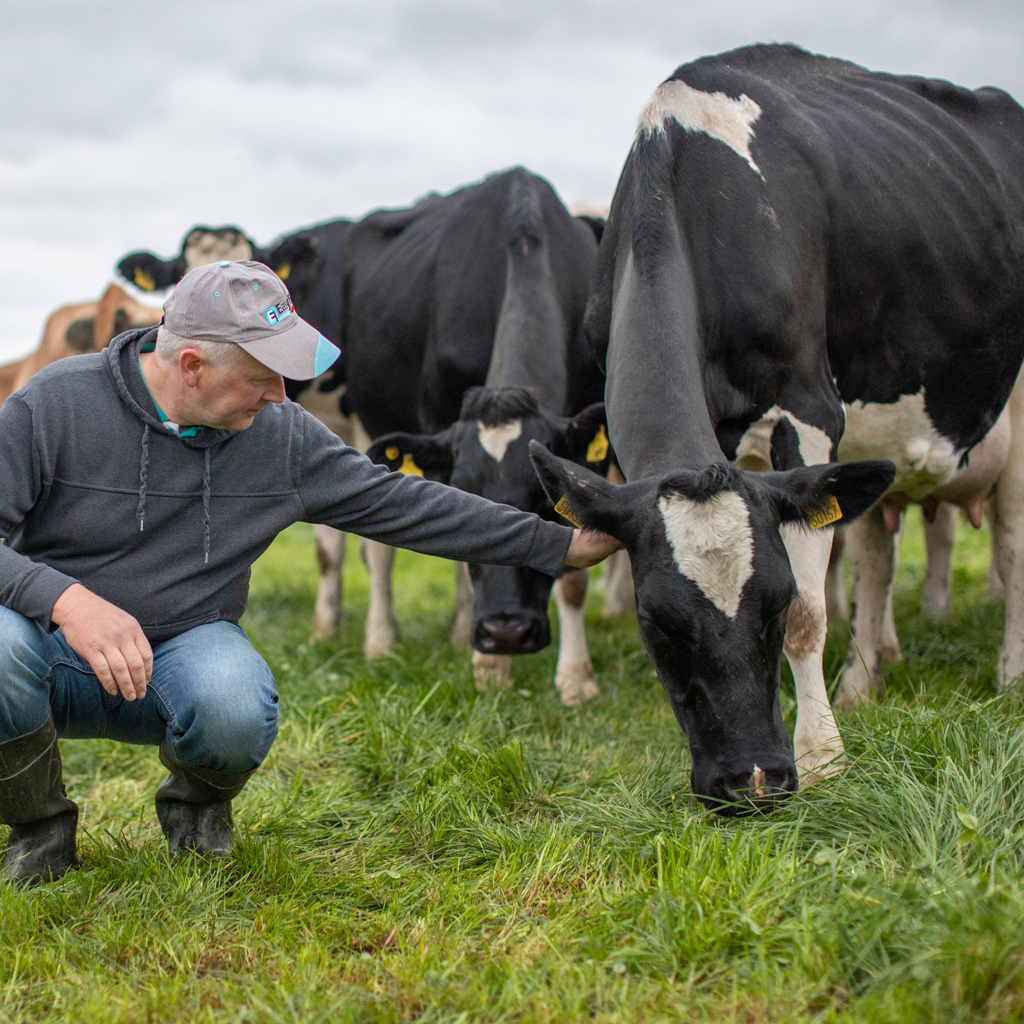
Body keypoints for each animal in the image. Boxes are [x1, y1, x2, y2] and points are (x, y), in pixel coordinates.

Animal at [532, 46, 1024, 815]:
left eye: (774, 602)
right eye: (656, 622)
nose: (752, 781)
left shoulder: (809, 412)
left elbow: (816, 612)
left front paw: (823, 757)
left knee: (1011, 552)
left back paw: (1008, 676)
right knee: (878, 560)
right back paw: (864, 681)